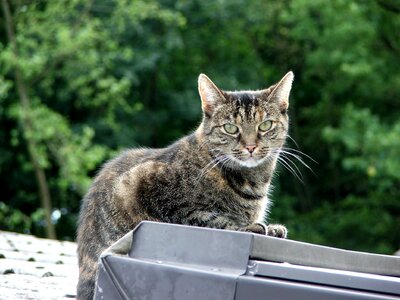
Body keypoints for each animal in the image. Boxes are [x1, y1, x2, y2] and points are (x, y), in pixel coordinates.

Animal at [76, 71, 294, 298]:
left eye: (265, 125)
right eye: (231, 128)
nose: (251, 147)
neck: (252, 181)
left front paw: (272, 228)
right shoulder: (149, 188)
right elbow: (213, 220)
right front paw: (251, 227)